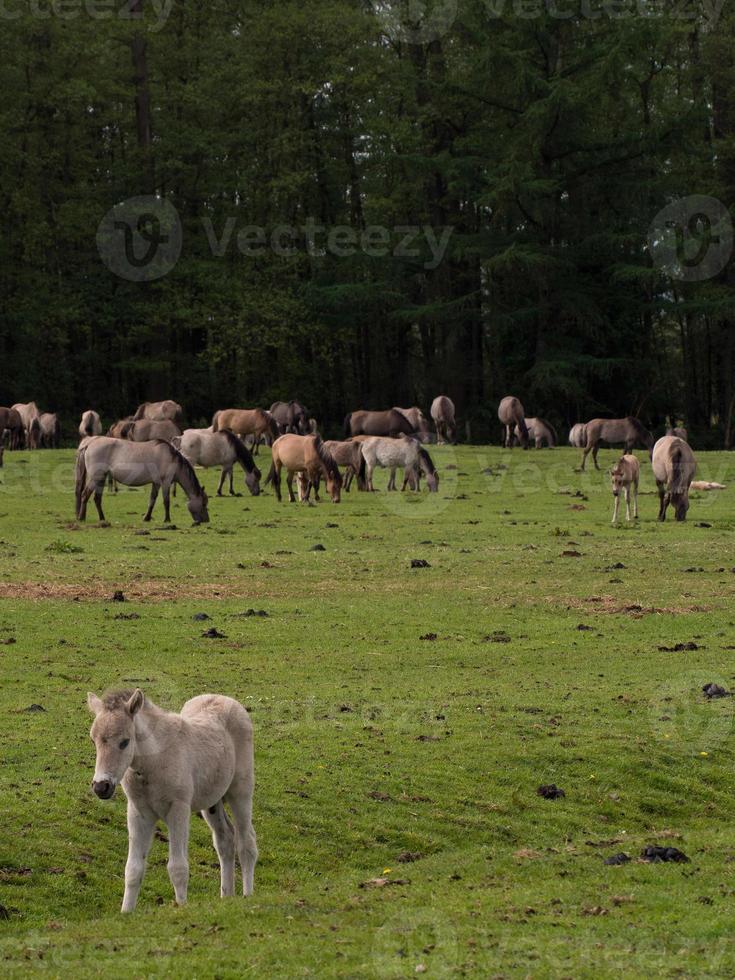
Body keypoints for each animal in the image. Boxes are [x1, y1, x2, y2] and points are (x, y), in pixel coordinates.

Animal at [76, 438, 208, 524]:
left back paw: (102, 519)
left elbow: (152, 500)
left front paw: (147, 518)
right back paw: (81, 517)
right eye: (203, 504)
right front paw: (167, 519)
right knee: (85, 494)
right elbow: (166, 501)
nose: (206, 520)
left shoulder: (156, 483)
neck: (172, 459)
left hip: (101, 478)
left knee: (97, 499)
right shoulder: (165, 482)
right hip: (95, 477)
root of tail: (88, 444)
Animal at [87, 688, 256, 912]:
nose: (101, 786)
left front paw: (181, 908)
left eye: (124, 742)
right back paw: (226, 897)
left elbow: (178, 867)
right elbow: (133, 869)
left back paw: (247, 895)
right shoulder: (138, 813)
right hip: (212, 801)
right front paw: (126, 913)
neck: (153, 763)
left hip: (241, 792)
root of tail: (227, 699)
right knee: (225, 839)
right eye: (93, 741)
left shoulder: (178, 810)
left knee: (246, 842)